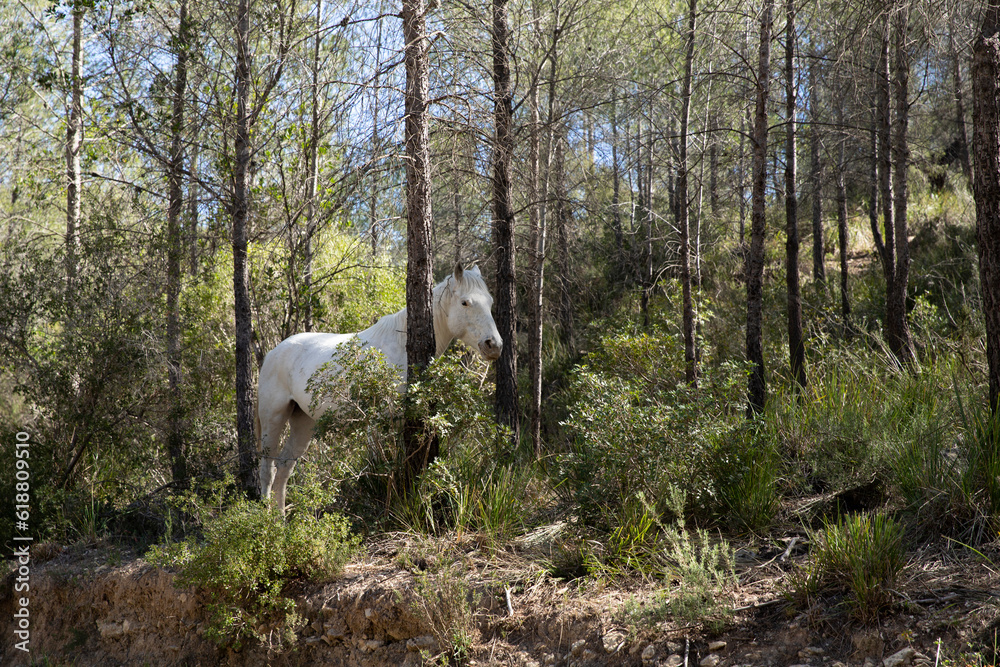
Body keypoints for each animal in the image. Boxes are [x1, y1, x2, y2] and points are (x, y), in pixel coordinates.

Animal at [255, 263, 502, 514]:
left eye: (490, 302)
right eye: (465, 302)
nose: (494, 345)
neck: (400, 350)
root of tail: (274, 352)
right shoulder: (377, 422)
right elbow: (380, 467)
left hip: (304, 421)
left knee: (284, 467)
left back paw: (281, 519)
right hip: (273, 417)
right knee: (267, 469)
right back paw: (266, 519)